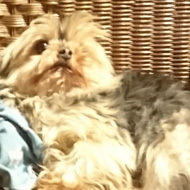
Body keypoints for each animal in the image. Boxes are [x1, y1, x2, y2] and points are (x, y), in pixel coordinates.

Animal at [0, 10, 190, 190]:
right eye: (41, 45)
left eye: (82, 50)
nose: (66, 52)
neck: (58, 95)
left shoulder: (102, 140)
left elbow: (82, 158)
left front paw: (57, 182)